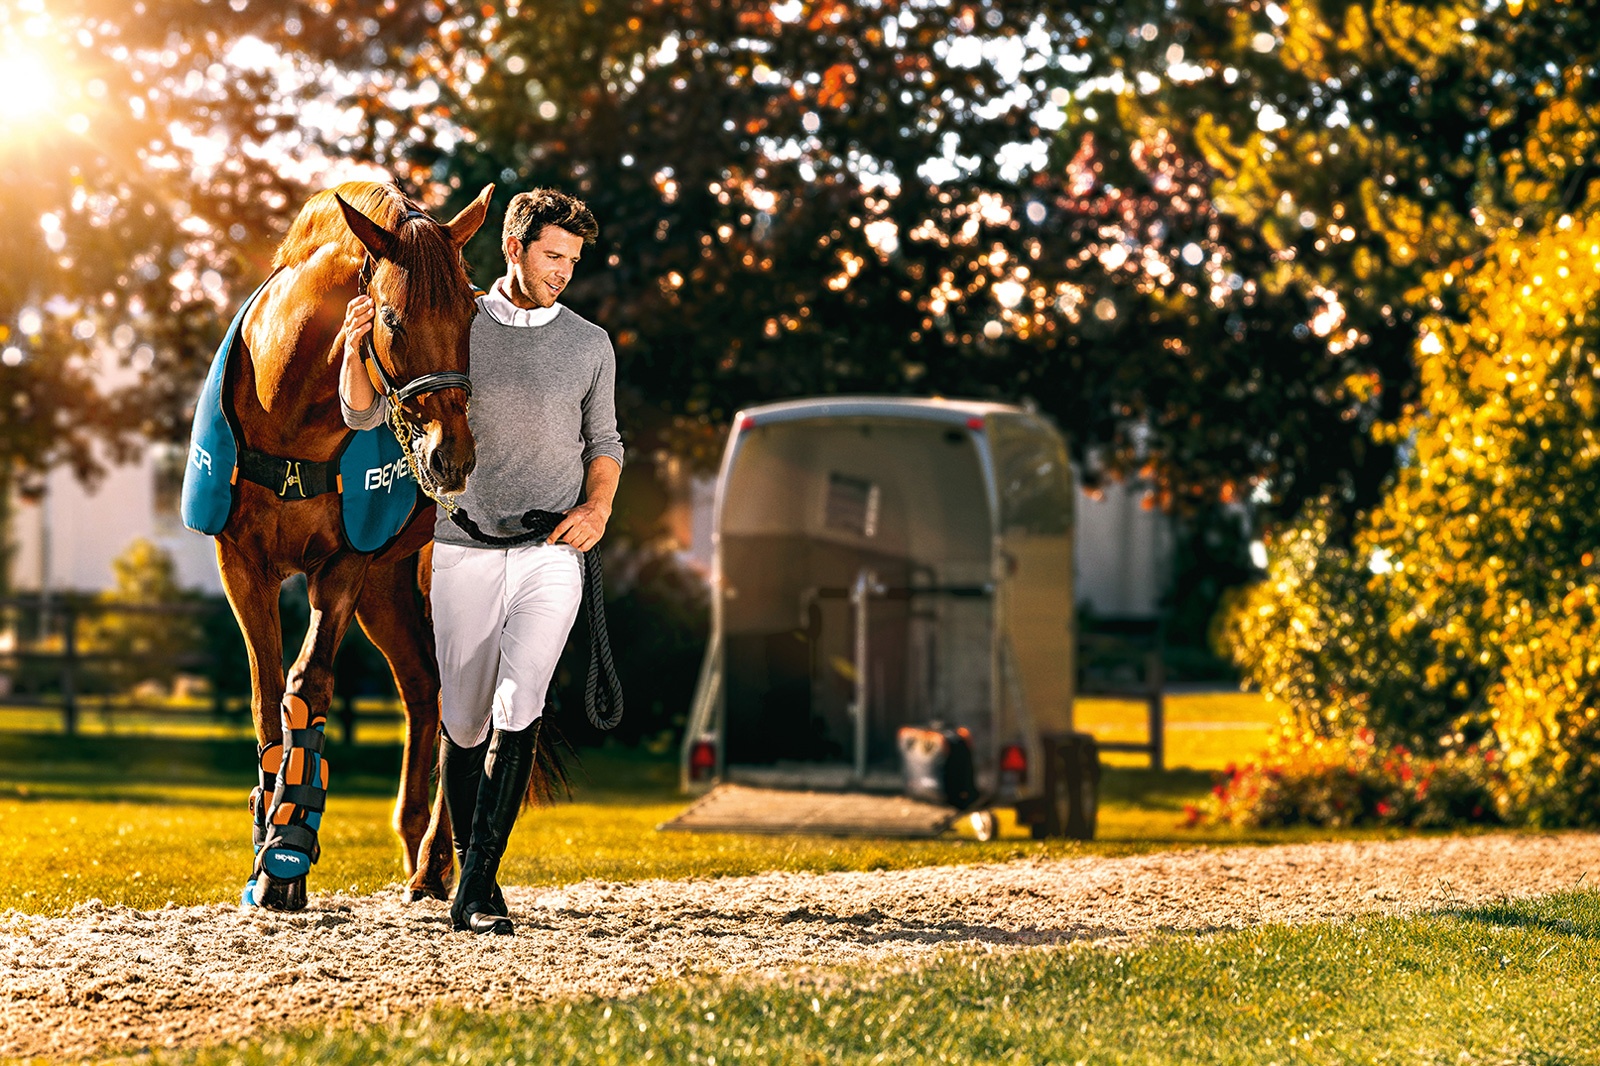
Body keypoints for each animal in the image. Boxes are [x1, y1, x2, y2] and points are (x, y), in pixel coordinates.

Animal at [219, 180, 489, 902]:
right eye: (392, 320)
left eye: (472, 316)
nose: (452, 457)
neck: (289, 416)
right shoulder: (240, 564)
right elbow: (265, 695)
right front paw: (265, 834)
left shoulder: (343, 566)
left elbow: (307, 682)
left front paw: (287, 849)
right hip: (388, 589)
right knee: (426, 689)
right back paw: (425, 854)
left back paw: (439, 857)